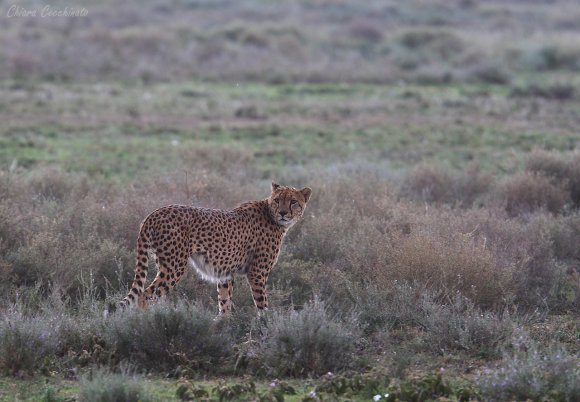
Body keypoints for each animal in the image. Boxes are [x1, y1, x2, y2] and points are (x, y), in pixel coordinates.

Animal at [119, 181, 312, 314]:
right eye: (277, 200)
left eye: (293, 201)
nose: (283, 213)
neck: (271, 215)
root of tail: (155, 212)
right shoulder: (257, 273)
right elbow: (262, 305)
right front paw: (265, 328)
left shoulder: (225, 273)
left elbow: (224, 304)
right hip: (174, 266)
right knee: (145, 296)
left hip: (164, 263)